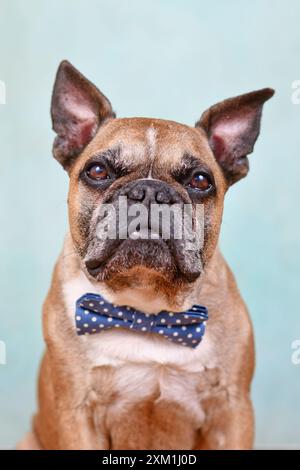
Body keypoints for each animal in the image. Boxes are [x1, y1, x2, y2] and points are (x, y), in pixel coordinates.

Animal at [17, 60, 274, 450]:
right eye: (97, 171)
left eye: (201, 180)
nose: (151, 191)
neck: (146, 306)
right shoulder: (77, 413)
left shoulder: (231, 411)